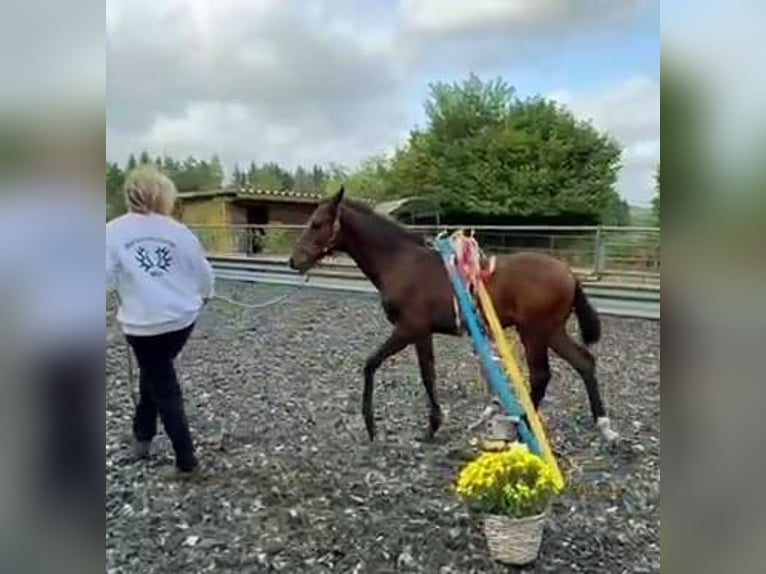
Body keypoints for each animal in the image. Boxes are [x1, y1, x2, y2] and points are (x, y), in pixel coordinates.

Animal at [288, 189, 616, 446]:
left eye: (317, 223)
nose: (294, 261)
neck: (402, 262)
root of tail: (569, 273)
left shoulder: (411, 329)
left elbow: (388, 367)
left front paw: (397, 426)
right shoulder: (420, 332)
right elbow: (420, 371)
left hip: (534, 332)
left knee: (541, 375)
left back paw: (518, 429)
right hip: (551, 331)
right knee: (583, 362)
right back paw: (603, 425)